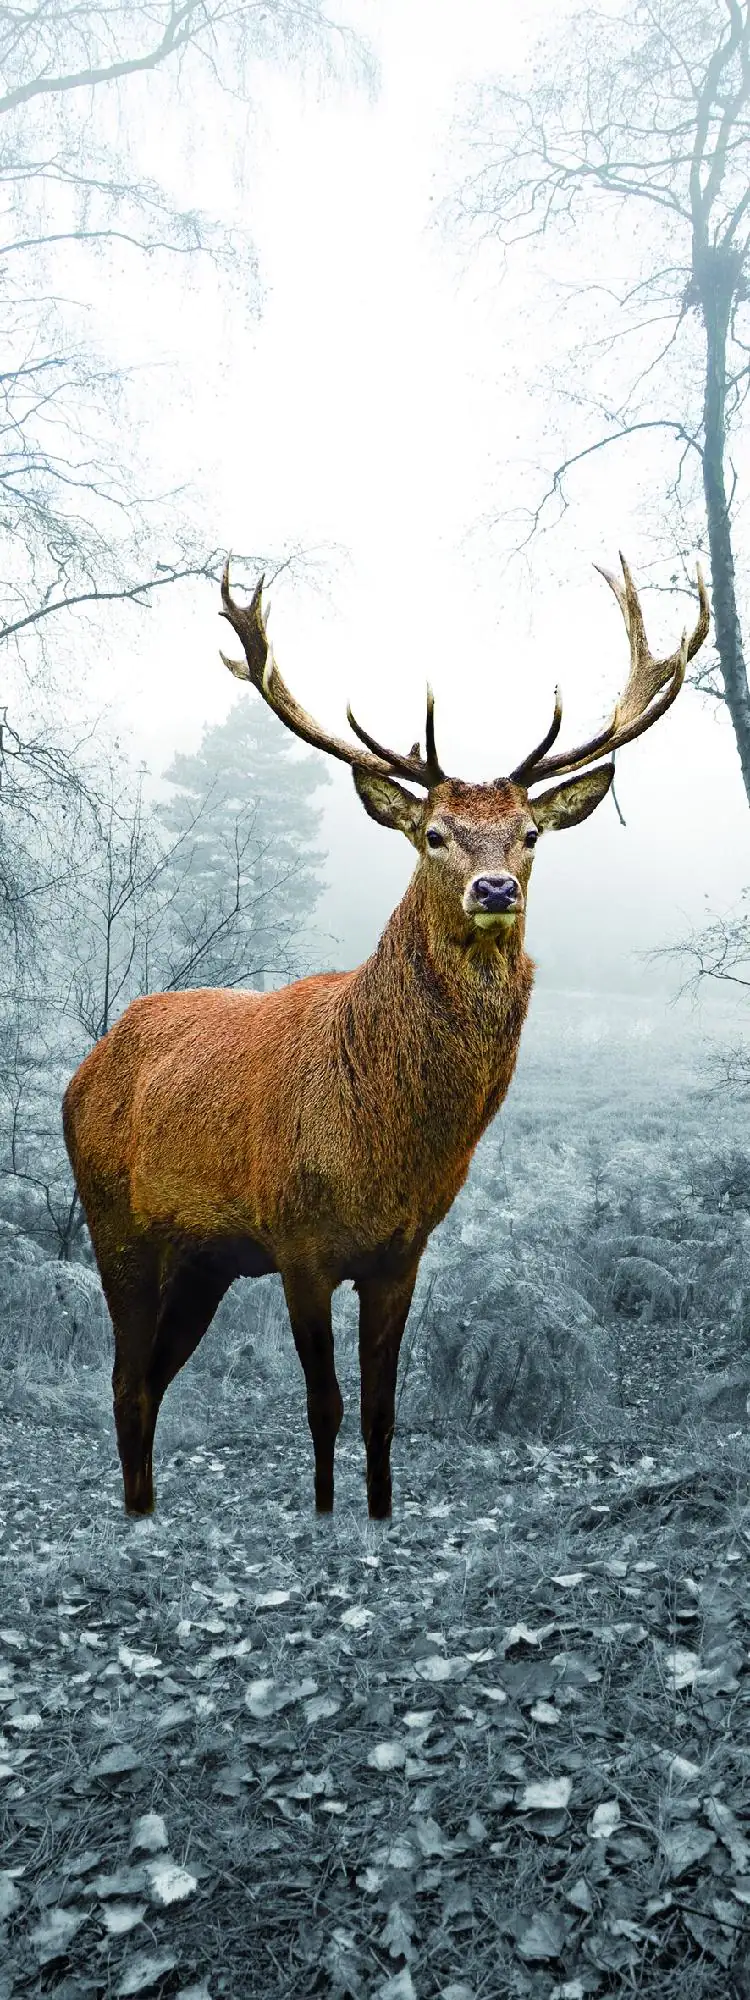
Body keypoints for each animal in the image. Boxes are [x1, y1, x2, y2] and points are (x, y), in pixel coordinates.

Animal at [62, 556, 709, 1520]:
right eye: (433, 833)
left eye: (529, 834)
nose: (493, 889)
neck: (382, 1143)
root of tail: (87, 1065)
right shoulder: (296, 1238)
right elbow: (323, 1404)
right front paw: (328, 1517)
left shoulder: (403, 1250)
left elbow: (381, 1408)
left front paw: (378, 1514)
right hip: (118, 1224)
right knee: (124, 1379)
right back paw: (138, 1518)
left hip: (205, 1260)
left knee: (150, 1377)